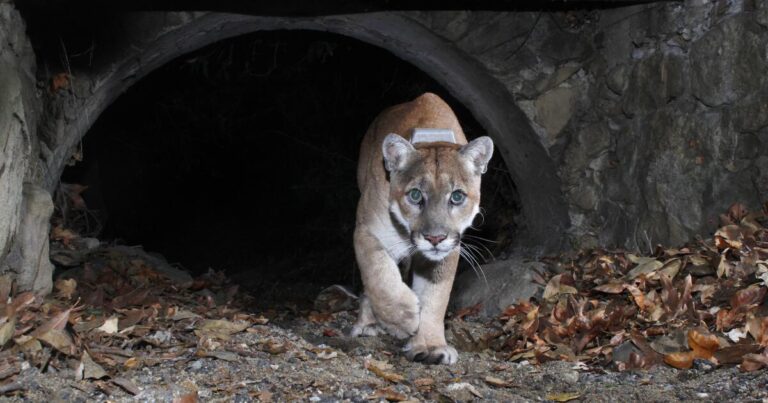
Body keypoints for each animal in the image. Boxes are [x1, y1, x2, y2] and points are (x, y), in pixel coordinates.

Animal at [352, 93, 496, 364]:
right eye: (416, 195)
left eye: (457, 197)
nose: (435, 238)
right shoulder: (367, 231)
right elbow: (379, 273)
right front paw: (403, 318)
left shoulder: (449, 250)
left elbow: (435, 296)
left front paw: (430, 346)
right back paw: (367, 323)